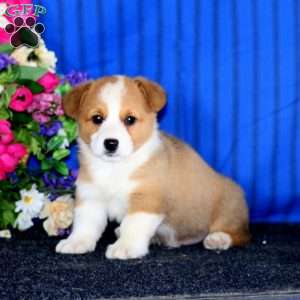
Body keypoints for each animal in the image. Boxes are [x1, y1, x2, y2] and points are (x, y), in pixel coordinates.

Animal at [55, 76, 250, 258]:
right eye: (97, 118)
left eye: (130, 119)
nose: (111, 143)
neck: (115, 168)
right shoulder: (90, 197)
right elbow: (85, 225)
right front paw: (76, 242)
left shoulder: (146, 200)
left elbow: (133, 226)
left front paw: (125, 247)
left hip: (228, 210)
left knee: (240, 234)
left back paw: (218, 238)